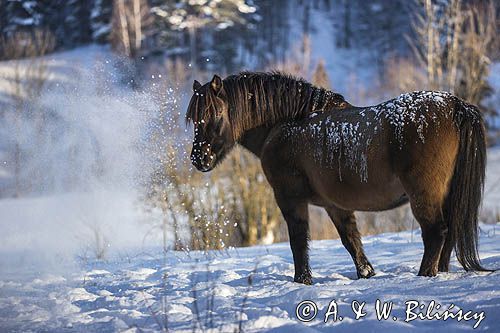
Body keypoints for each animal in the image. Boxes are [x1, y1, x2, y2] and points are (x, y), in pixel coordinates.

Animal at [186, 71, 490, 284]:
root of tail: (456, 106)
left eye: (215, 114)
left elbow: (299, 241)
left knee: (436, 233)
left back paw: (425, 275)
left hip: (424, 196)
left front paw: (302, 281)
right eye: (194, 119)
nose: (199, 159)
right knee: (449, 234)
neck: (285, 124)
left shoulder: (290, 198)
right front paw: (366, 274)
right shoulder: (336, 205)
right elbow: (351, 241)